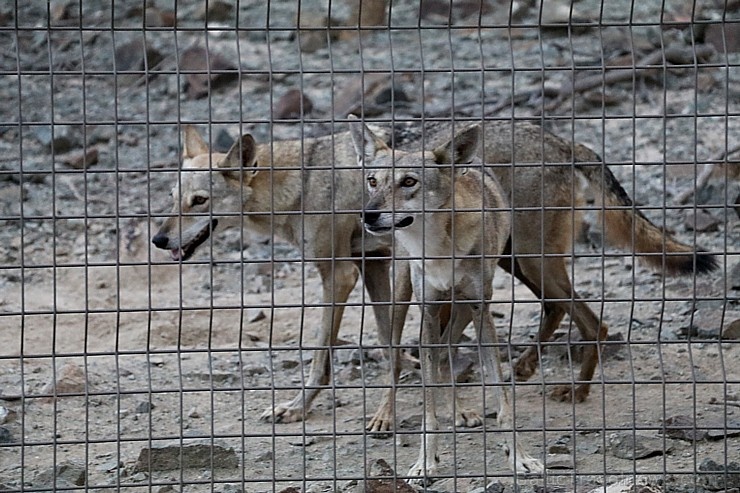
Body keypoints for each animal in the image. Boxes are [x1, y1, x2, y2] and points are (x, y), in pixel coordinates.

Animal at [350, 117, 548, 478]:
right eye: (373, 181)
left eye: (408, 182)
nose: (367, 215)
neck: (439, 248)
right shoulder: (427, 312)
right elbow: (427, 406)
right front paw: (425, 462)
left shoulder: (481, 311)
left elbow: (502, 400)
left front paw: (520, 457)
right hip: (402, 300)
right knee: (396, 356)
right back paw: (384, 416)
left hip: (464, 310)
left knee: (445, 352)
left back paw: (459, 411)